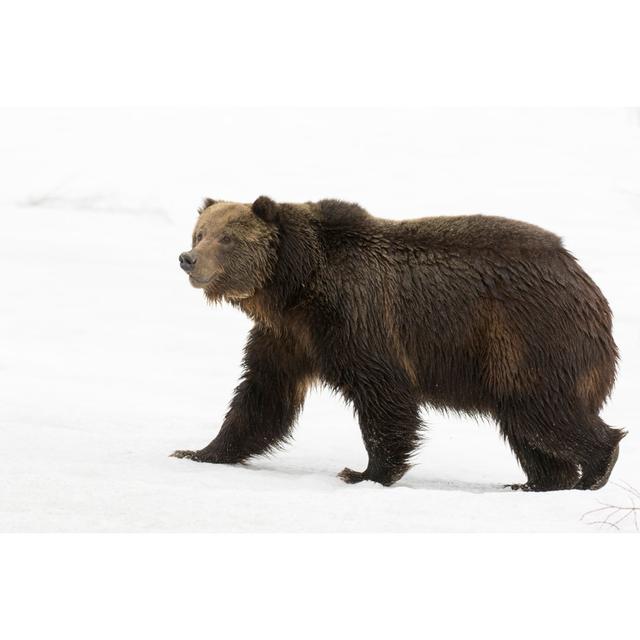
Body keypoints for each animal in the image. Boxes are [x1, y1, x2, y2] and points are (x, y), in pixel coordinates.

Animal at [172, 198, 624, 492]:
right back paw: (536, 482)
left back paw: (594, 470)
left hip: (530, 339)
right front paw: (198, 451)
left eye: (227, 239)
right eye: (200, 232)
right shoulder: (286, 338)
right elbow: (261, 398)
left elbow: (383, 394)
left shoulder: (355, 317)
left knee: (546, 412)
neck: (294, 286)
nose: (188, 258)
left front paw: (364, 472)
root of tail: (588, 284)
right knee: (526, 424)